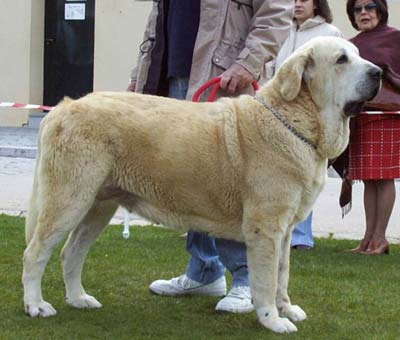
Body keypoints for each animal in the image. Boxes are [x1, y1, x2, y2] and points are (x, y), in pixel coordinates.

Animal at [21, 36, 382, 332]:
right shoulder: (266, 228)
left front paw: (287, 309)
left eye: (358, 55)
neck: (294, 122)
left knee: (71, 253)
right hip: (68, 200)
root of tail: (64, 107)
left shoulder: (285, 229)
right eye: (341, 60)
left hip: (98, 206)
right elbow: (265, 279)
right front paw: (272, 319)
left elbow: (282, 273)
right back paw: (36, 305)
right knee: (35, 253)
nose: (379, 72)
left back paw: (78, 298)